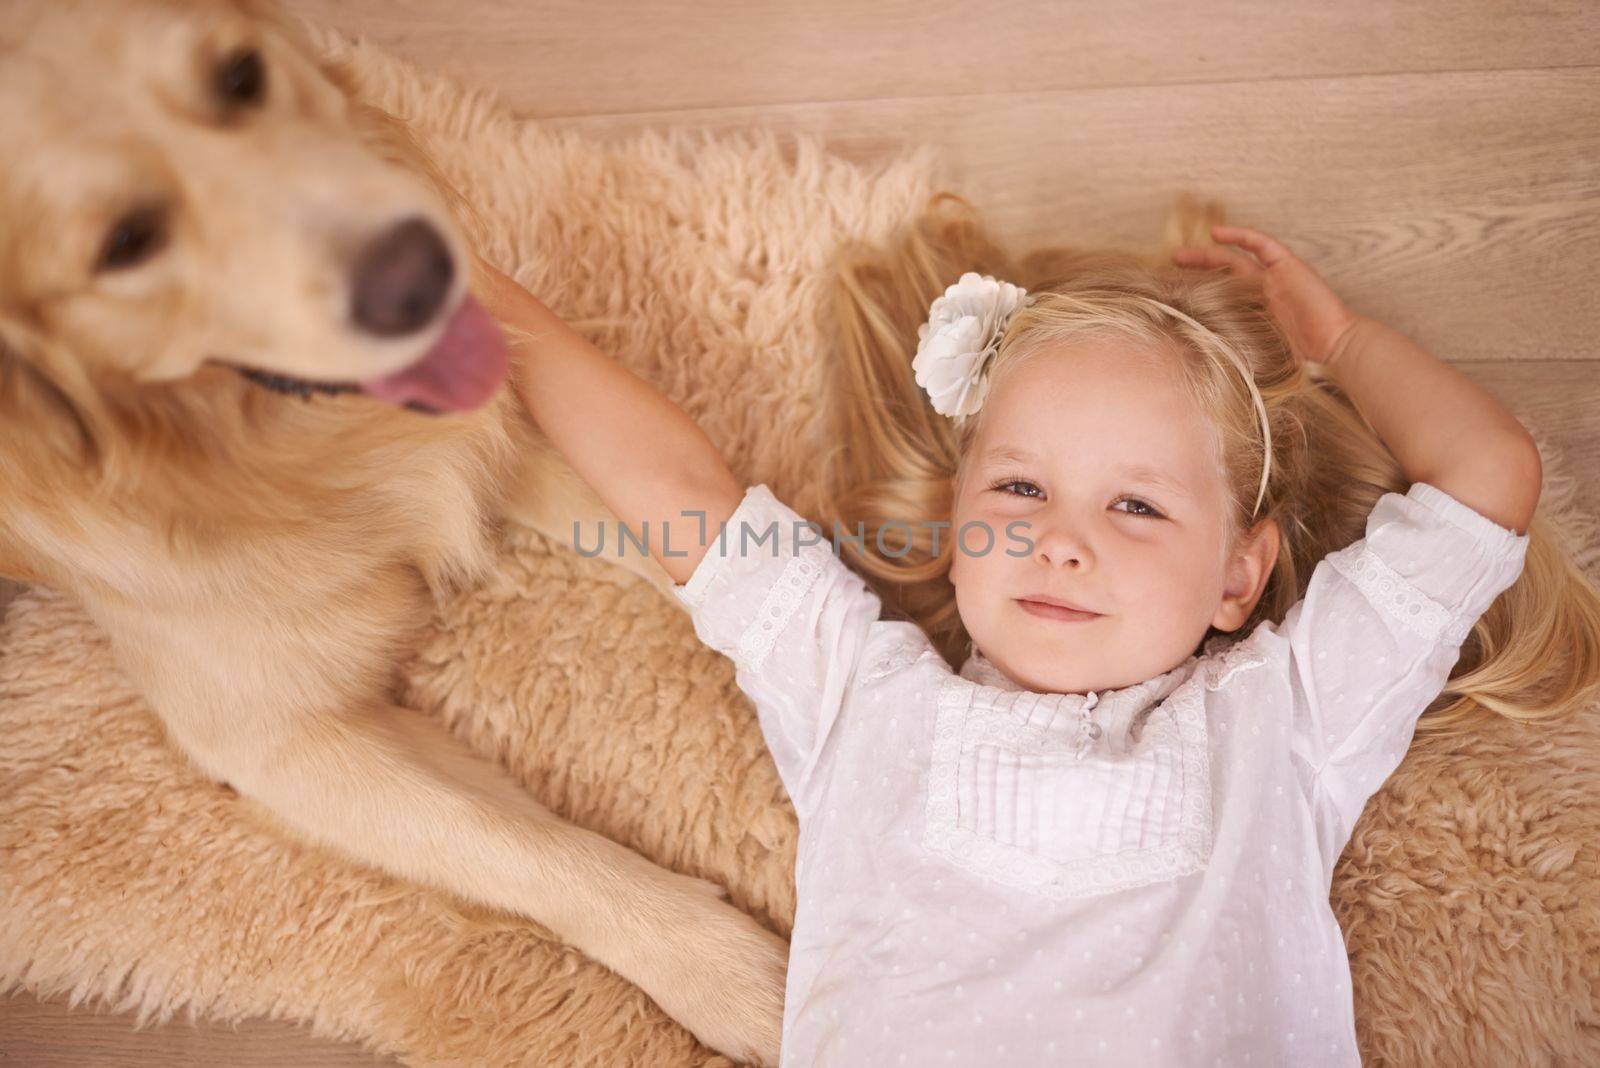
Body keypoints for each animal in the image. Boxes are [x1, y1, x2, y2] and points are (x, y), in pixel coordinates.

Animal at [0, 0, 787, 1061]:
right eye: (124, 242)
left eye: (241, 76)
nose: (421, 270)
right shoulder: (272, 743)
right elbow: (519, 845)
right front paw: (728, 971)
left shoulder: (480, 439)